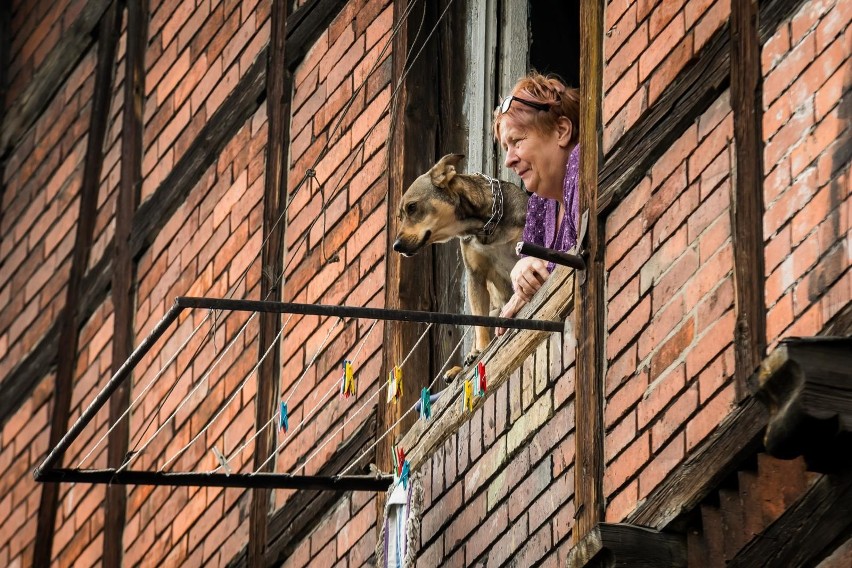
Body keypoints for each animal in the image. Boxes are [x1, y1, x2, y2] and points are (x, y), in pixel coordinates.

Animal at [392, 154, 524, 378]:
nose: (396, 246)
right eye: (400, 217)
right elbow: (479, 321)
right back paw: (460, 366)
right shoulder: (475, 276)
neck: (485, 228)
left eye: (412, 207)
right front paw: (481, 350)